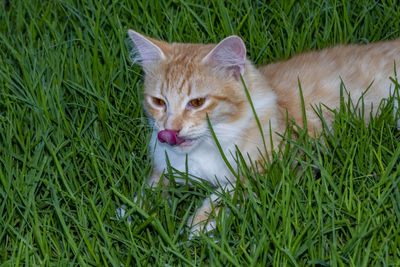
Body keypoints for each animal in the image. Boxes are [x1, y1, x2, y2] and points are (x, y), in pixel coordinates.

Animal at [127, 29, 400, 237]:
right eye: (158, 102)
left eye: (196, 102)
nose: (169, 130)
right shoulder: (166, 166)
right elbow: (152, 187)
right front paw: (133, 211)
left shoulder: (286, 159)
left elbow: (228, 192)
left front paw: (200, 224)